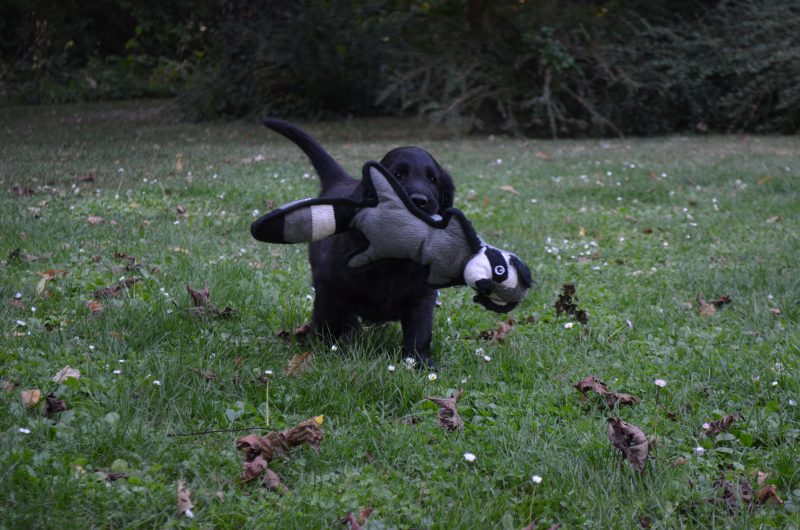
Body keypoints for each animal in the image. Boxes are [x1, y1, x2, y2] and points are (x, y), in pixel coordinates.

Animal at [261, 118, 455, 366]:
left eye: (433, 180)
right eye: (397, 175)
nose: (420, 201)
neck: (394, 260)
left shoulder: (423, 296)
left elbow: (420, 332)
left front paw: (419, 362)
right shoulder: (329, 287)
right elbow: (324, 321)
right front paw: (317, 353)